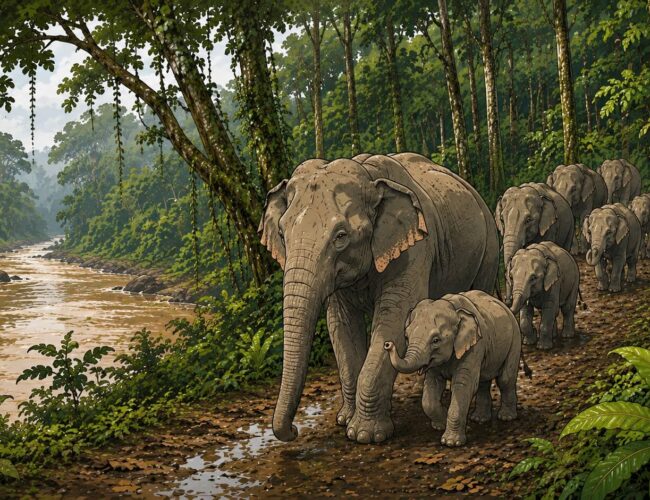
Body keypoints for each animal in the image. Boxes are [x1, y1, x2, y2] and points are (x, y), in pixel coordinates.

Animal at [259, 152, 499, 444]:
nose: (294, 431)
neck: (368, 175)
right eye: (282, 234)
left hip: (489, 247)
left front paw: (365, 435)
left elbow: (393, 318)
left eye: (341, 236)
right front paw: (345, 421)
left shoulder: (416, 247)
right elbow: (341, 327)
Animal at [383, 290, 521, 447]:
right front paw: (440, 425)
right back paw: (479, 419)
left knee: (505, 379)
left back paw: (506, 417)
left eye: (436, 340)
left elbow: (463, 385)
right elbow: (432, 387)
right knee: (483, 381)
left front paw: (450, 443)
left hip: (515, 337)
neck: (453, 309)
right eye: (406, 337)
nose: (387, 344)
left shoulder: (474, 346)